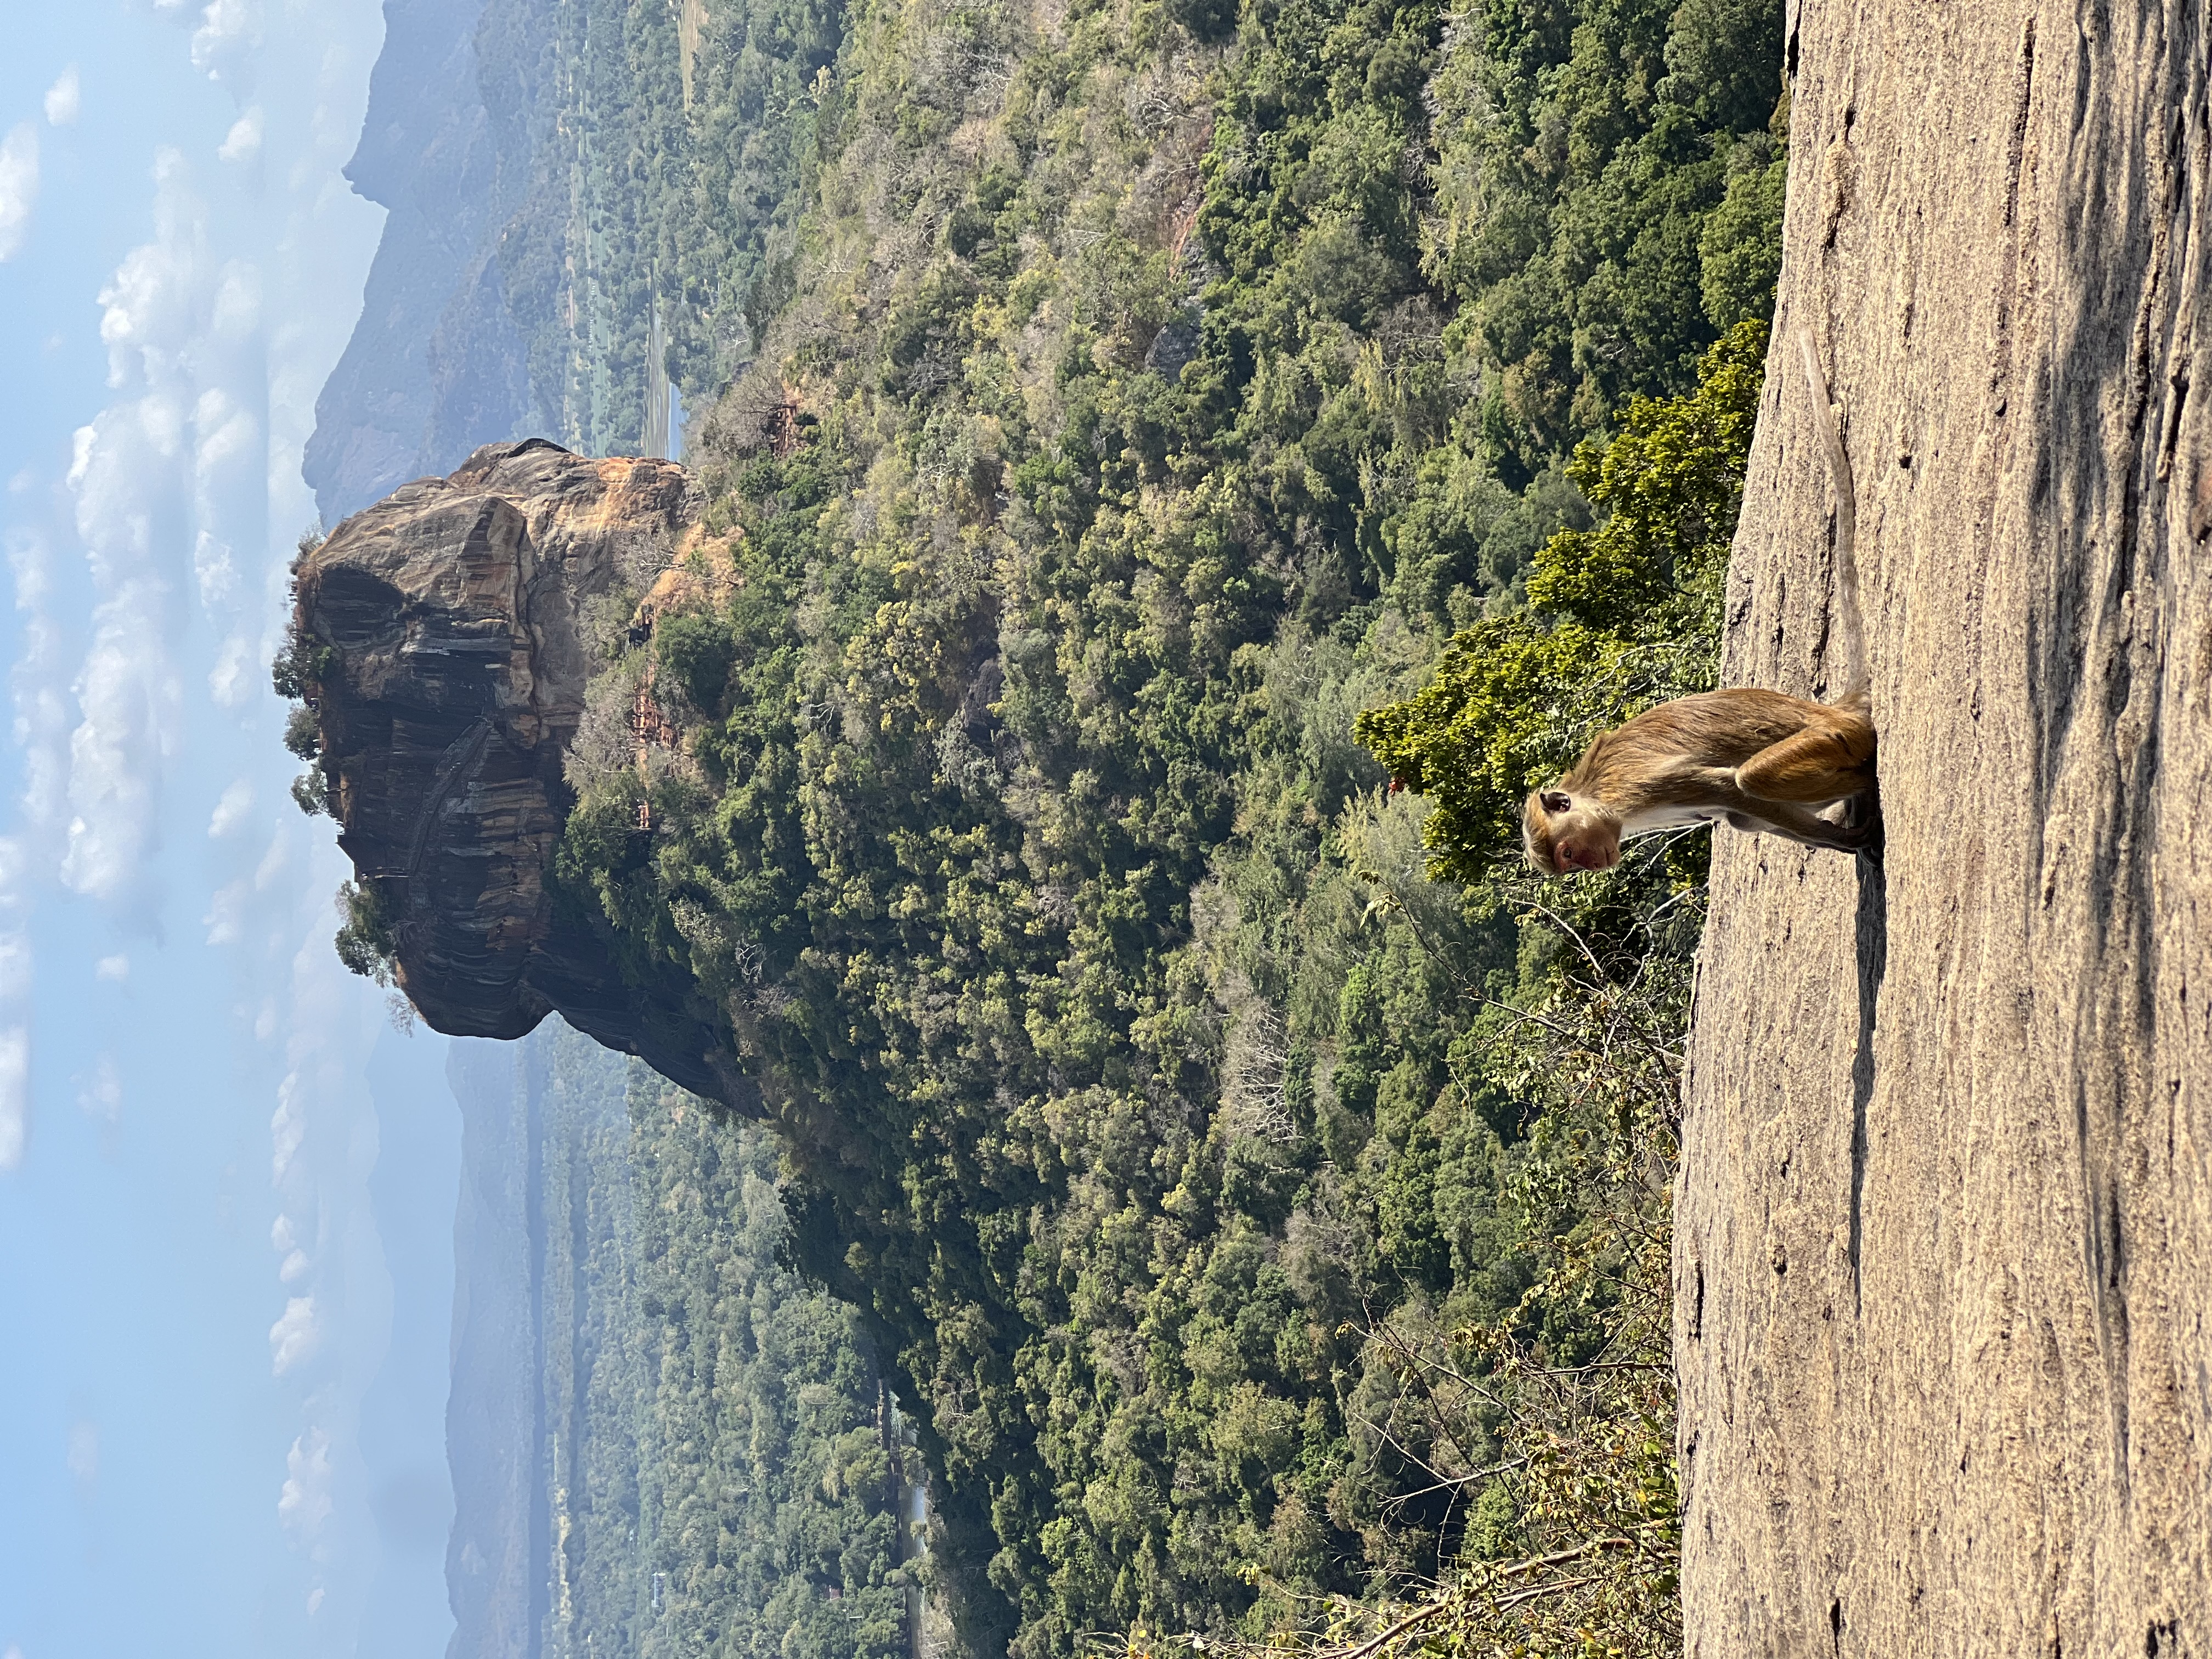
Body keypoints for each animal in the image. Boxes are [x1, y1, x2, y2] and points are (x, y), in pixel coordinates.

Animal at [1522, 326, 1876, 876]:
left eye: (1567, 852)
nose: (1591, 866)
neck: (1600, 796)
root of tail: (1834, 710)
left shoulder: (1645, 786)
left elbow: (1731, 790)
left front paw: (1852, 836)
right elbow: (1738, 814)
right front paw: (1842, 840)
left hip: (1834, 738)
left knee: (1753, 781)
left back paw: (1862, 783)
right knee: (1748, 817)